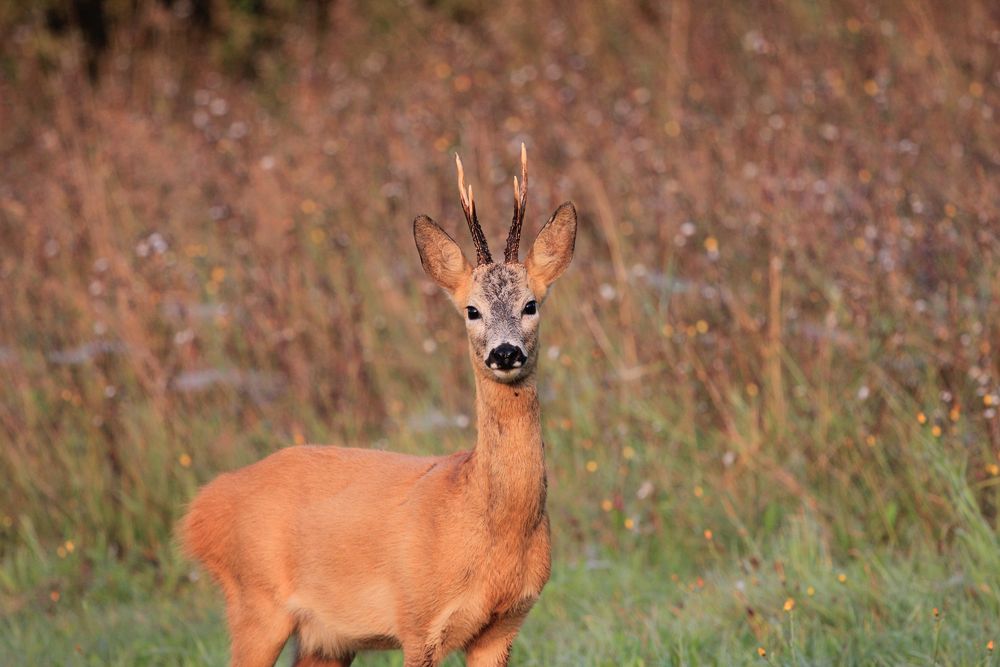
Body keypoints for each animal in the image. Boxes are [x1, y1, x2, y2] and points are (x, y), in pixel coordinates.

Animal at [182, 146, 580, 667]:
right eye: (471, 310)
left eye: (531, 305)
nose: (505, 352)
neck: (484, 521)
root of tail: (203, 507)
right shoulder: (417, 618)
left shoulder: (504, 625)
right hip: (255, 600)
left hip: (325, 638)